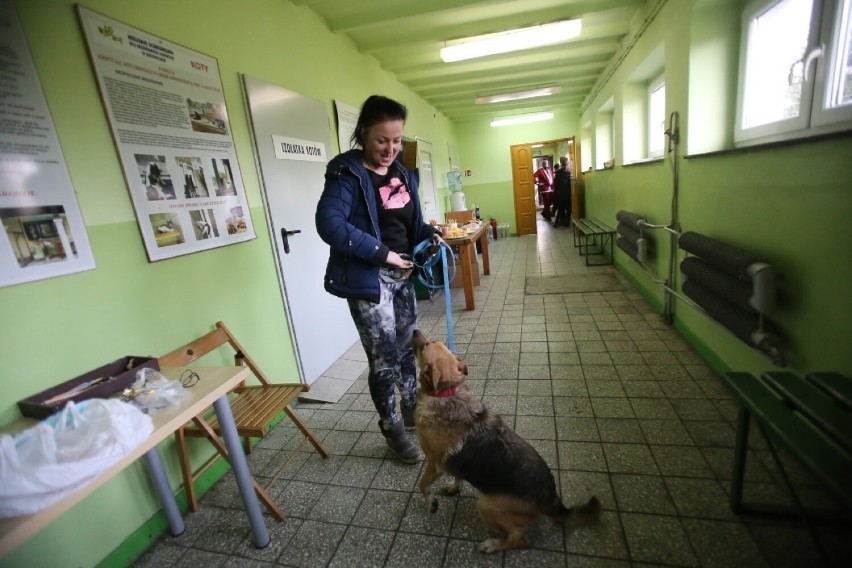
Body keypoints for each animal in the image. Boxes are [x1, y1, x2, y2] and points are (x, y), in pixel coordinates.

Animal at [412, 330, 600, 552]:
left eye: (427, 345)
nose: (414, 331)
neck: (446, 393)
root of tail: (551, 499)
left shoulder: (434, 464)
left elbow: (422, 486)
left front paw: (431, 504)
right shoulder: (454, 462)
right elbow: (458, 476)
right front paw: (453, 487)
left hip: (487, 504)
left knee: (521, 539)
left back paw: (492, 545)